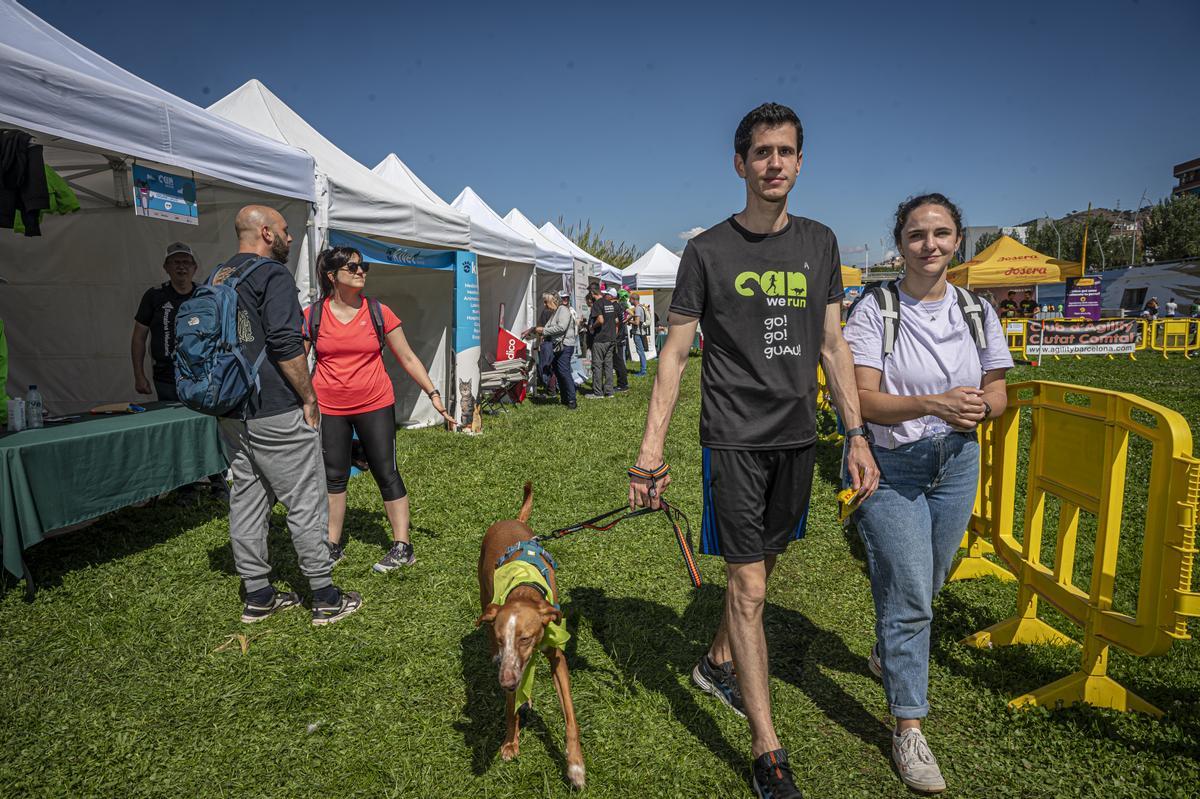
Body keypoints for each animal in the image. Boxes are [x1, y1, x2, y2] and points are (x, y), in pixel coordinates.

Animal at [480, 479, 588, 782]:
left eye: (525, 638)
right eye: (502, 639)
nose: (505, 682)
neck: (523, 589)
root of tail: (512, 520)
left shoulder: (557, 657)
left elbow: (571, 716)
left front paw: (575, 765)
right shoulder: (508, 664)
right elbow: (509, 709)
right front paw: (509, 743)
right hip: (484, 593)